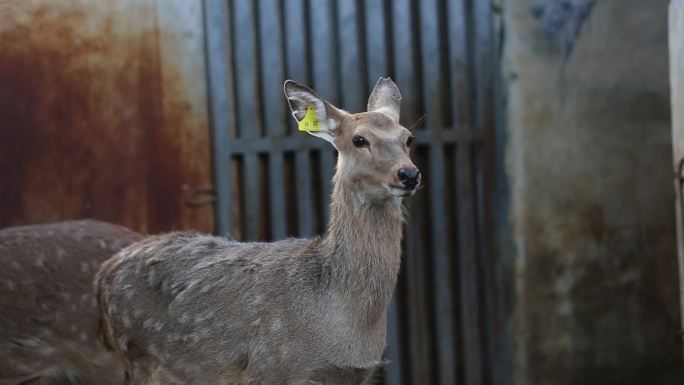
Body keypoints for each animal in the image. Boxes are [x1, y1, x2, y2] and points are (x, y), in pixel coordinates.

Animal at [93, 76, 420, 382]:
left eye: (408, 138)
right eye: (359, 139)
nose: (409, 174)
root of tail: (102, 277)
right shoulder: (270, 367)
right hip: (138, 355)